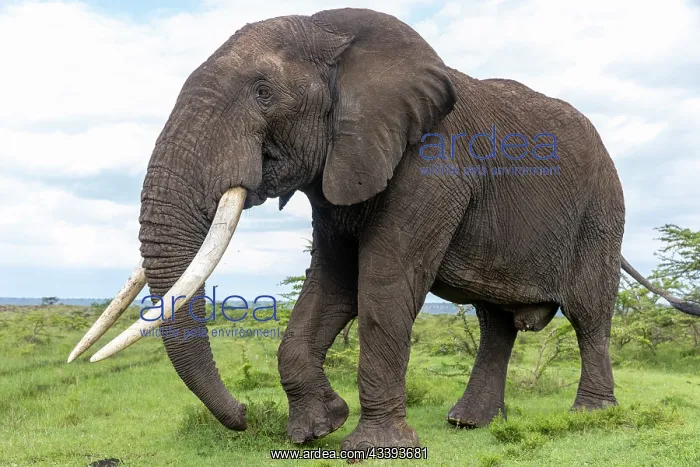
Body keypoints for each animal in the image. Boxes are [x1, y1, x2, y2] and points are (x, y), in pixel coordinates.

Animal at [69, 7, 700, 452]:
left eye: (264, 93)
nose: (244, 416)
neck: (332, 34)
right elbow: (332, 286)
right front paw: (317, 429)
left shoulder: (433, 166)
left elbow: (382, 286)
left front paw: (370, 445)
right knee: (496, 323)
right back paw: (468, 424)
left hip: (602, 208)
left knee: (590, 313)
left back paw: (591, 416)